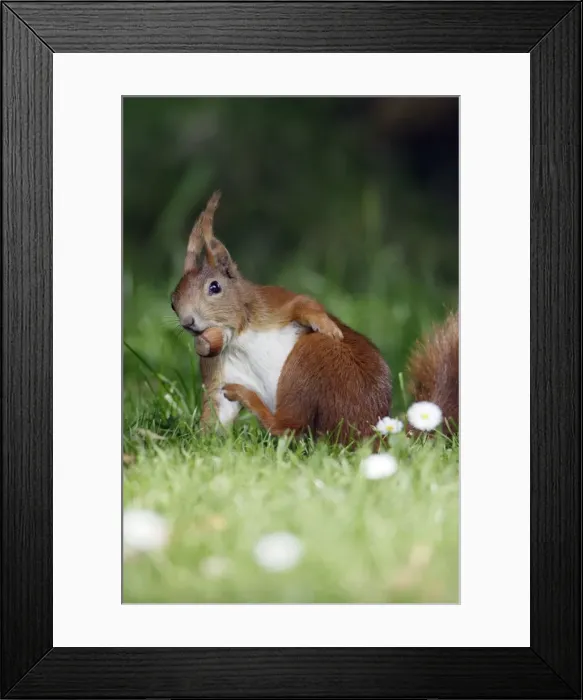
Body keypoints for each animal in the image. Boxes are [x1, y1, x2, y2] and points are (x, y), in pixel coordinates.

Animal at [171, 192, 458, 444]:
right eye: (173, 302)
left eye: (215, 287)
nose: (188, 323)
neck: (237, 337)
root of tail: (370, 434)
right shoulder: (220, 368)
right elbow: (217, 410)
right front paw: (201, 444)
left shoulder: (273, 306)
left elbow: (304, 304)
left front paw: (326, 325)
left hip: (310, 355)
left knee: (287, 424)